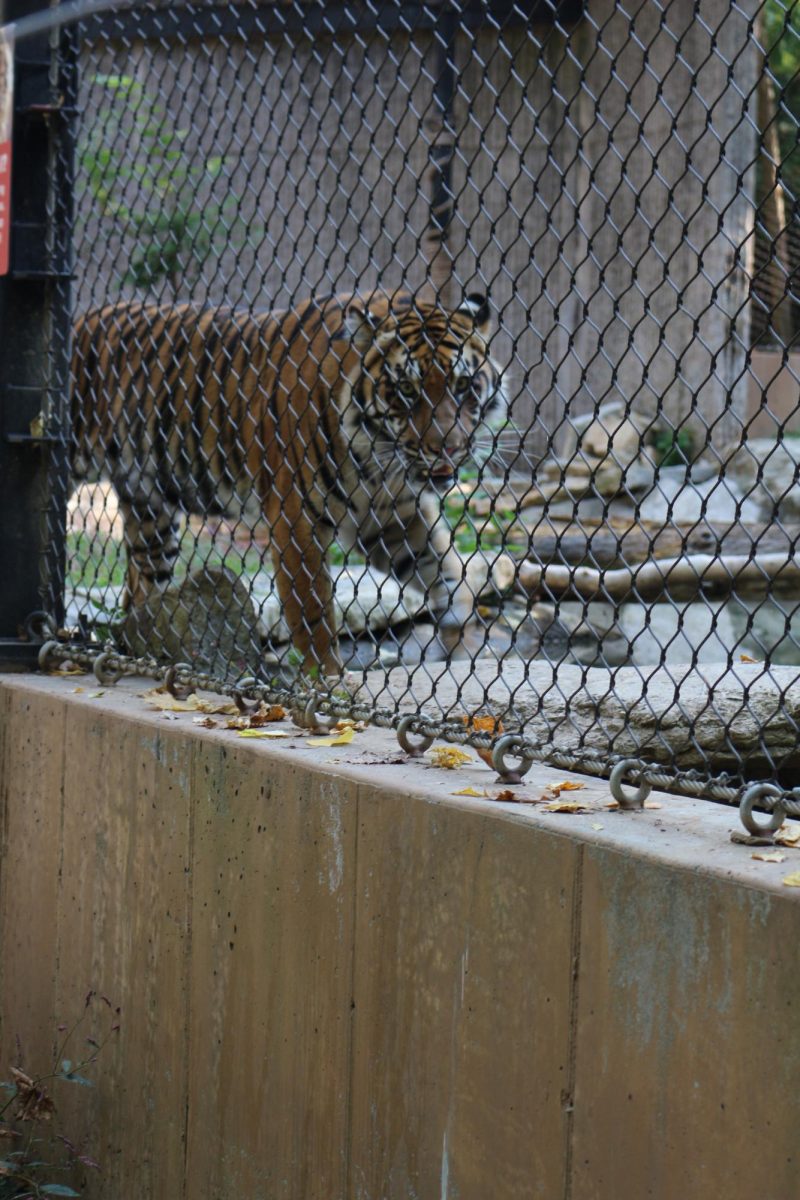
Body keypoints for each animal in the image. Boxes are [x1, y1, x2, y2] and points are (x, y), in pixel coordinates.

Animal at [71, 285, 503, 672]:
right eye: (408, 389)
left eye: (463, 385)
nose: (447, 449)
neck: (380, 457)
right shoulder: (296, 516)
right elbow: (313, 611)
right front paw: (327, 679)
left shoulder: (397, 517)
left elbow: (447, 574)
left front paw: (465, 645)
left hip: (151, 514)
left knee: (140, 589)